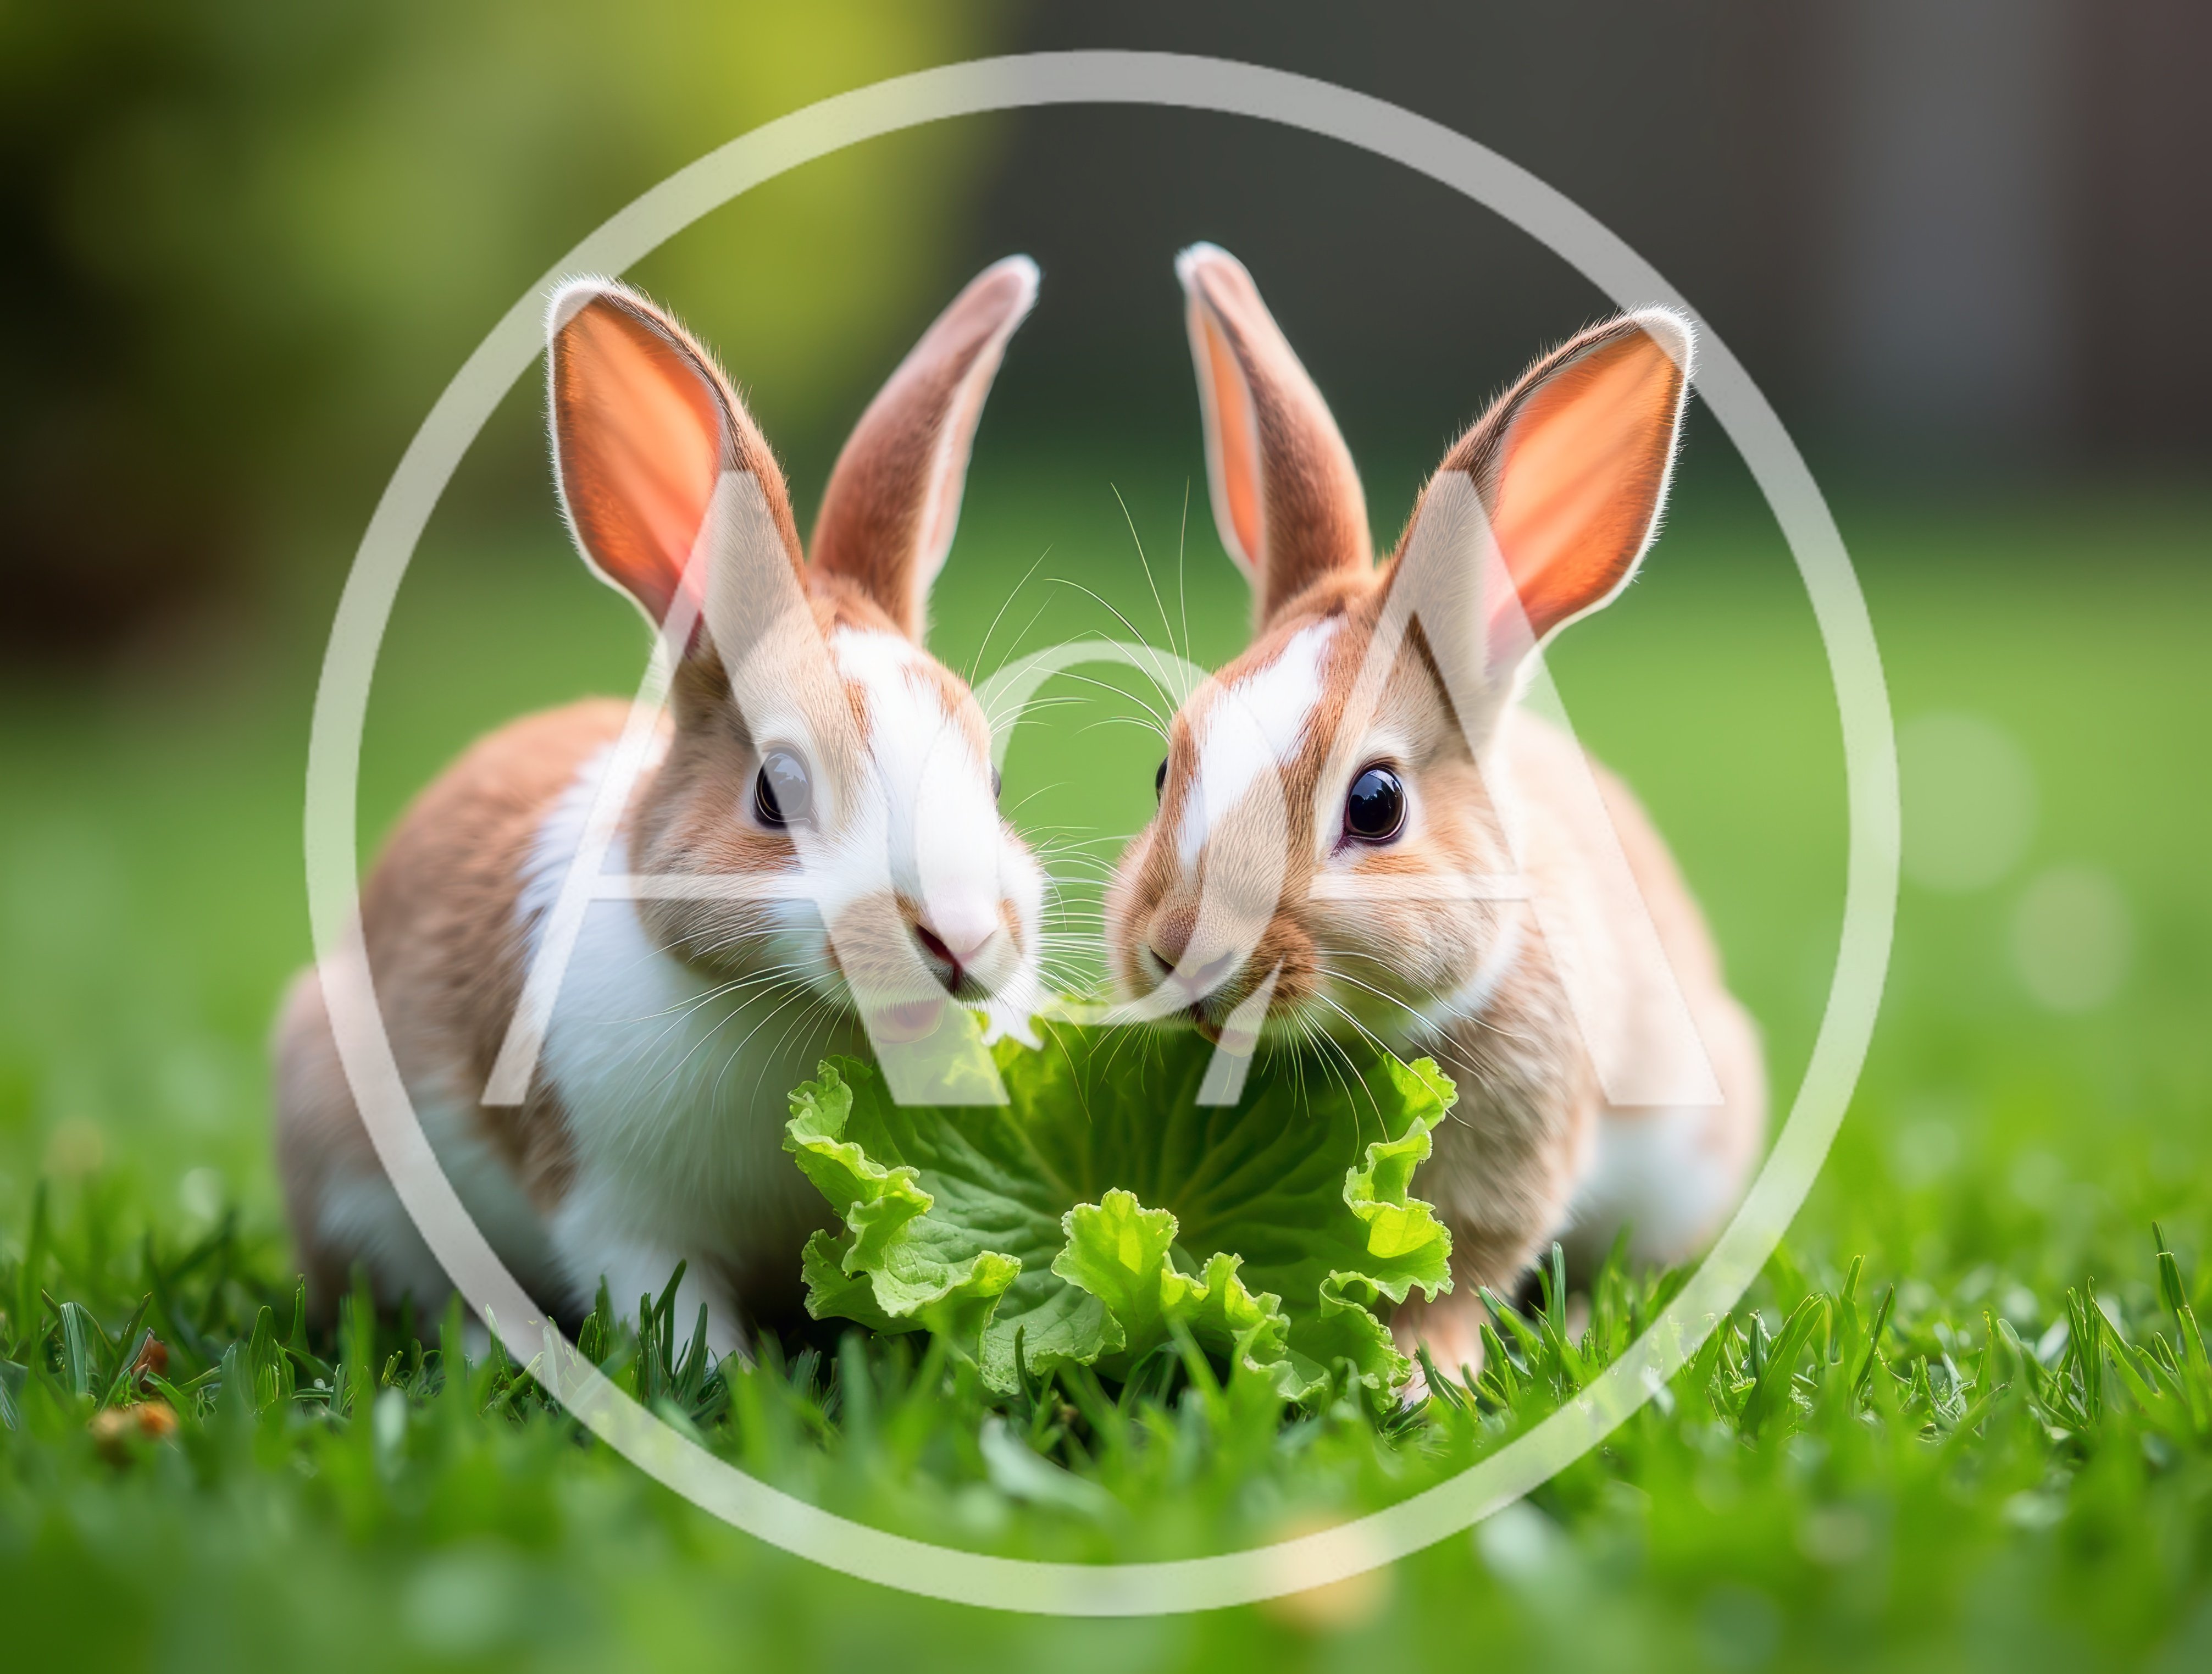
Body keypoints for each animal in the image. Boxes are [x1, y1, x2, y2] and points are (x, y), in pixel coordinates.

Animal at [275, 257, 1048, 1358]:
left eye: (992, 783)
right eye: (774, 791)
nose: (963, 938)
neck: (800, 1011)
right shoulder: (619, 1218)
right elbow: (673, 1311)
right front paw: (726, 1378)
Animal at [1106, 245, 1767, 1377]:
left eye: (1376, 805)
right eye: (1161, 772)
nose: (1181, 949)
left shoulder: (1511, 1169)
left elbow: (1455, 1275)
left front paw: (1421, 1376)